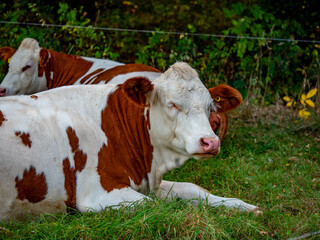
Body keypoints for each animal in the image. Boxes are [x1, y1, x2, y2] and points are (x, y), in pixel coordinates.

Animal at [0, 62, 258, 221]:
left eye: (209, 107)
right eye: (172, 104)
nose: (210, 142)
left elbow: (194, 189)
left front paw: (245, 207)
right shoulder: (98, 193)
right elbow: (157, 207)